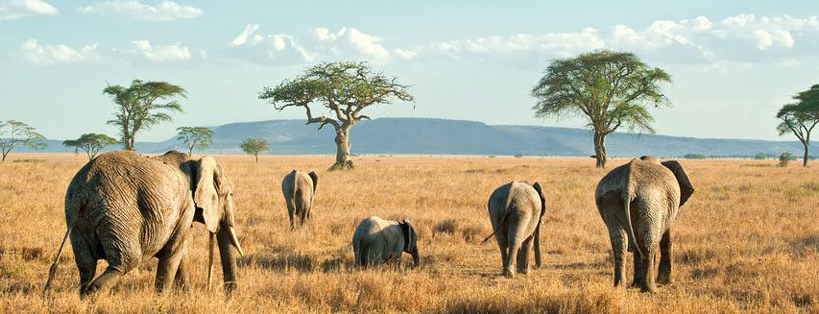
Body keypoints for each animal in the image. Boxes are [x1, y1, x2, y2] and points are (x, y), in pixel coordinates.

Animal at [43, 150, 245, 296]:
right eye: (230, 194)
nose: (229, 295)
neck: (196, 162)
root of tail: (82, 191)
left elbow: (180, 253)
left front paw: (187, 297)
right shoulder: (187, 205)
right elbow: (173, 252)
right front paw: (160, 300)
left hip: (76, 218)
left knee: (86, 266)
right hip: (117, 212)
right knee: (126, 261)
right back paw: (91, 297)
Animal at [592, 156, 696, 294]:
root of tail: (628, 186)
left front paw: (636, 284)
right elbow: (666, 238)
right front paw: (666, 282)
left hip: (611, 198)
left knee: (619, 242)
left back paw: (619, 287)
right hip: (650, 201)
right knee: (648, 242)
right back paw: (651, 290)